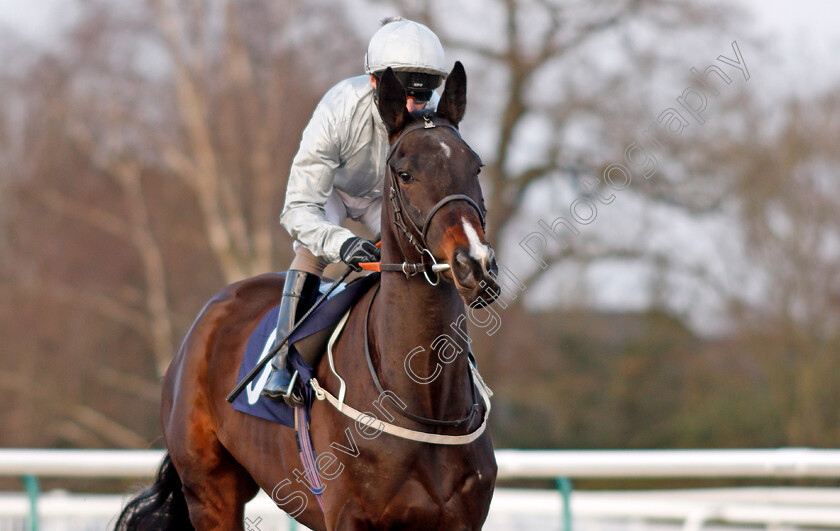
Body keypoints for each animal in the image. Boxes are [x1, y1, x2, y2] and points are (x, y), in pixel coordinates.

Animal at [116, 63, 498, 531]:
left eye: (475, 166)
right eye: (405, 174)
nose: (474, 264)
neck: (424, 400)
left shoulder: (462, 519)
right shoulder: (349, 517)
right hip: (210, 491)